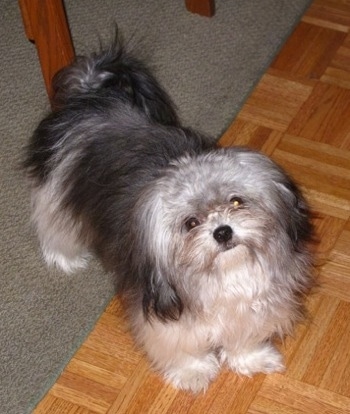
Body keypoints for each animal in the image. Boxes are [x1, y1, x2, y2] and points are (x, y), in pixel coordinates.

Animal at [25, 34, 314, 392]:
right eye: (191, 223)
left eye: (236, 202)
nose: (222, 231)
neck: (225, 276)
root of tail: (94, 96)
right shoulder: (165, 310)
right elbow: (181, 347)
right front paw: (194, 372)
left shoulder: (251, 308)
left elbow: (243, 338)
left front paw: (252, 359)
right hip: (57, 188)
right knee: (53, 224)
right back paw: (64, 257)